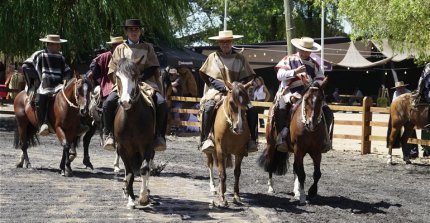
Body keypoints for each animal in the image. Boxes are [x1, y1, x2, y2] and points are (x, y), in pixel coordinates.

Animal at [113, 58, 155, 209]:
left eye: (135, 76)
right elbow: (130, 172)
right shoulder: (123, 148)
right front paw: (131, 199)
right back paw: (126, 190)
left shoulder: (147, 146)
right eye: (117, 76)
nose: (125, 101)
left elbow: (144, 169)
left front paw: (143, 197)